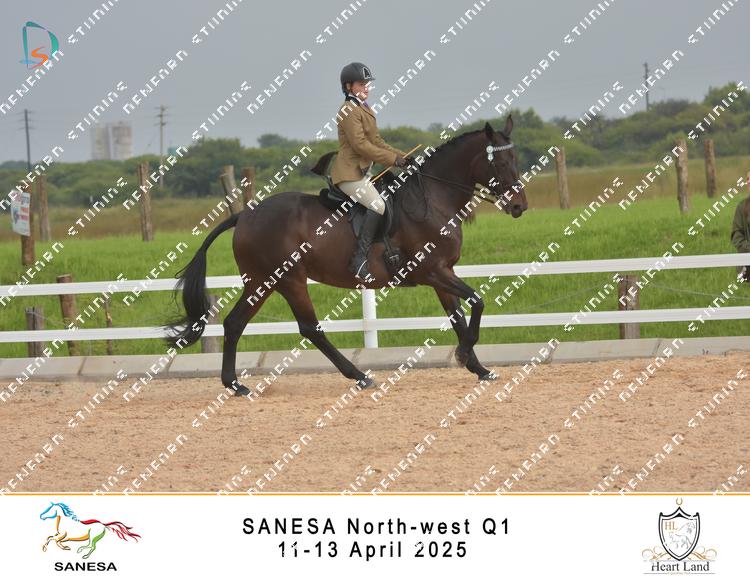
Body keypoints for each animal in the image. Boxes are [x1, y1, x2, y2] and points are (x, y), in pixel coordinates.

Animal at [168, 115, 528, 396]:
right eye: (499, 162)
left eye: (516, 160)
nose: (519, 206)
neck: (433, 199)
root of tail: (245, 214)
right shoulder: (433, 271)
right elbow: (477, 302)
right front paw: (465, 354)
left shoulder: (443, 275)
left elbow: (459, 317)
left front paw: (478, 367)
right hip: (286, 279)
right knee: (308, 328)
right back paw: (359, 376)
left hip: (262, 282)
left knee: (235, 323)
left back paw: (235, 384)